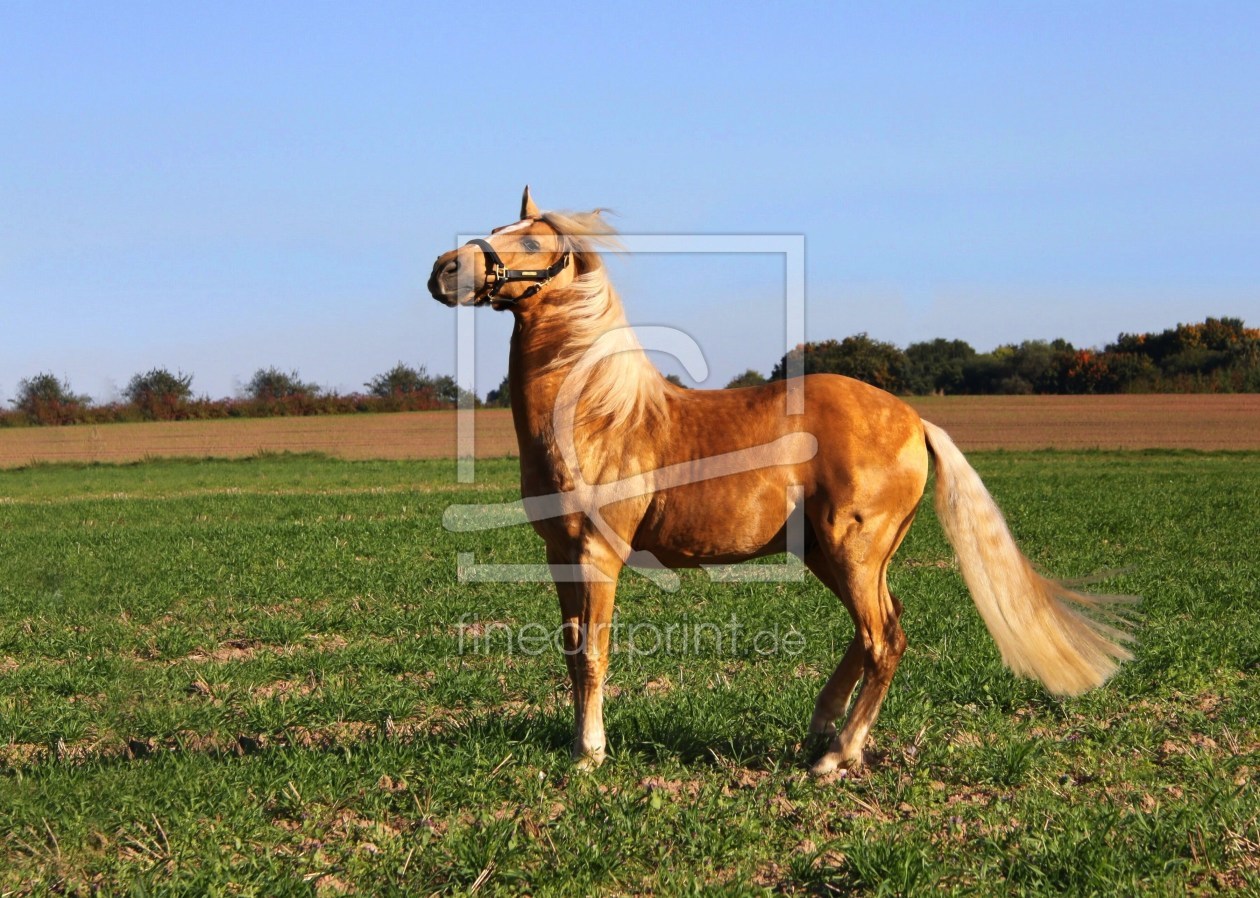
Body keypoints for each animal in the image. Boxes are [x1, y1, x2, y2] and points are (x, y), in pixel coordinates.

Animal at [430, 187, 1134, 770]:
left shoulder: (599, 553)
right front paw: (582, 744)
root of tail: (914, 419)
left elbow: (595, 652)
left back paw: (836, 756)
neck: (602, 415)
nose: (444, 270)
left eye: (530, 242)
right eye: (496, 227)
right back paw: (822, 731)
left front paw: (589, 755)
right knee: (879, 629)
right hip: (833, 554)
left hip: (853, 550)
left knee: (884, 639)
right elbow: (573, 649)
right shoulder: (560, 554)